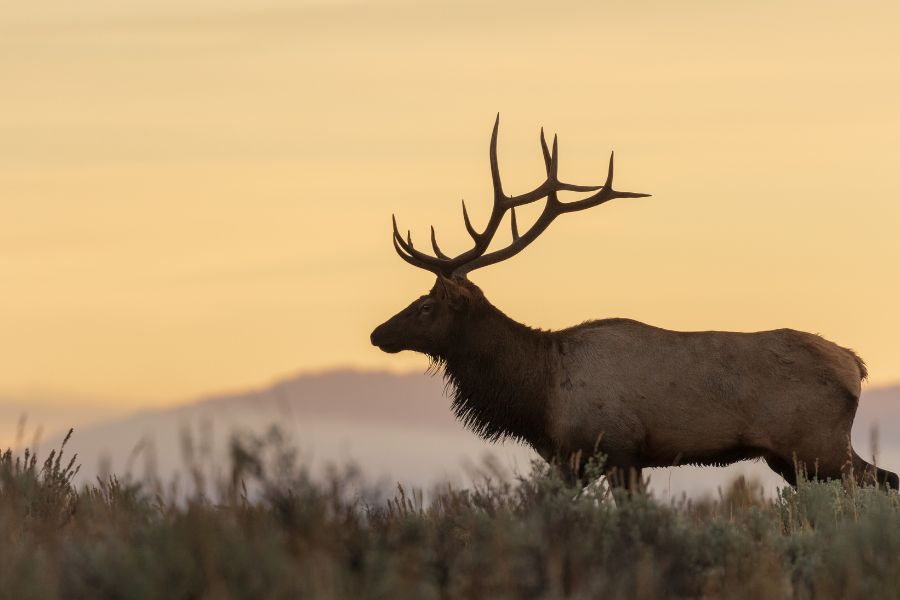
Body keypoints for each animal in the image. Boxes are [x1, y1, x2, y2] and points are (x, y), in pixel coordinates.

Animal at [370, 116, 896, 492]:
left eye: (427, 305)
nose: (378, 334)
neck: (538, 393)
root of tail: (856, 364)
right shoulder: (576, 460)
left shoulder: (615, 447)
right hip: (790, 457)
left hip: (818, 444)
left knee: (879, 482)